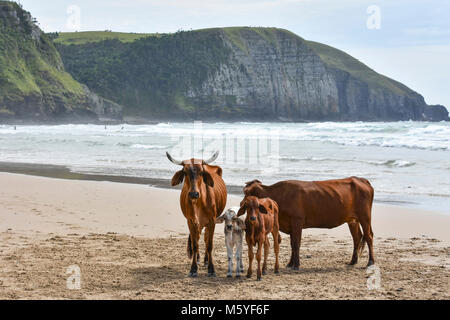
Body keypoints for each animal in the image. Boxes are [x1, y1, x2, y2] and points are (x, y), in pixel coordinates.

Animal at [244, 176, 374, 268]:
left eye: (248, 193)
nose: (242, 204)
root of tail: (360, 179)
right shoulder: (291, 225)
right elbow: (292, 244)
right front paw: (290, 263)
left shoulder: (297, 221)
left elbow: (296, 244)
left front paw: (296, 265)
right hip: (352, 220)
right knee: (357, 237)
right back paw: (353, 261)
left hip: (365, 216)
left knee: (369, 236)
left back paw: (371, 262)